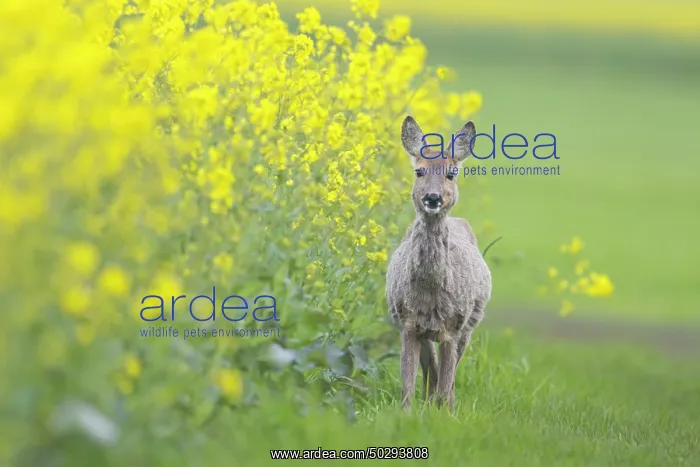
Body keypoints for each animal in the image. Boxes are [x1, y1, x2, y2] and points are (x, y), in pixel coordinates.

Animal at [385, 115, 492, 411]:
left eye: (451, 173)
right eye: (419, 172)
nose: (432, 198)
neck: (431, 290)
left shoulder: (454, 326)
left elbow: (447, 380)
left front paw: (446, 415)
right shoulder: (408, 322)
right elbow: (408, 384)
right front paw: (408, 413)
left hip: (471, 322)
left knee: (450, 373)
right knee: (431, 368)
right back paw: (429, 400)